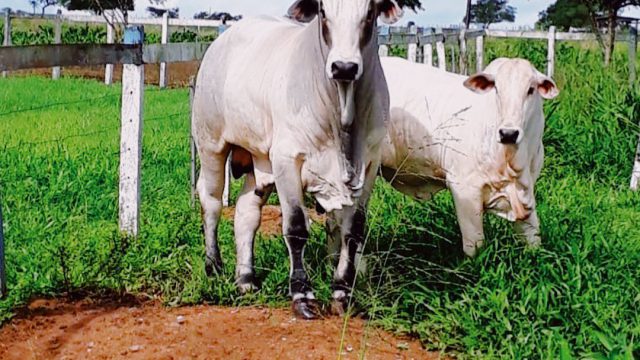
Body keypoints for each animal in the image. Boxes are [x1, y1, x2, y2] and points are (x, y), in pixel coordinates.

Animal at [190, 0, 402, 320]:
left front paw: (342, 293)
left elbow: (353, 231)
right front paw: (302, 294)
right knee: (212, 201)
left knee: (246, 212)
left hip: (259, 162)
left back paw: (246, 278)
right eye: (323, 12)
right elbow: (296, 228)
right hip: (211, 144)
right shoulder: (286, 160)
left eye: (370, 13)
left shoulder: (368, 166)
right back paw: (214, 266)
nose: (344, 67)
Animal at [380, 57, 560, 256]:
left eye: (530, 89)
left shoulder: (526, 193)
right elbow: (475, 246)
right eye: (496, 88)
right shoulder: (465, 190)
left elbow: (533, 241)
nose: (508, 133)